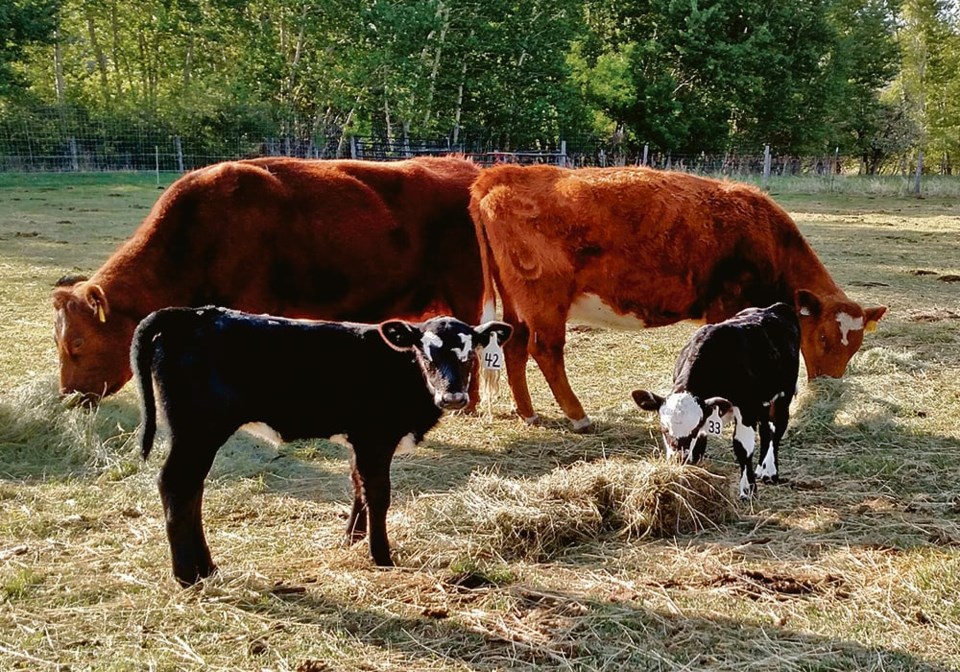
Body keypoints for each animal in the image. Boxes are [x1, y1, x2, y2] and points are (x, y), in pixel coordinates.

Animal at [133, 308, 516, 584]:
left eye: (470, 355)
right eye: (426, 354)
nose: (453, 397)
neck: (400, 369)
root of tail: (189, 313)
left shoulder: (359, 442)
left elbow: (358, 486)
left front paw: (352, 539)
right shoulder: (375, 439)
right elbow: (378, 493)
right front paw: (381, 556)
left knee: (192, 491)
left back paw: (207, 568)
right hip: (197, 431)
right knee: (175, 486)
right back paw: (187, 575)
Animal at [468, 165, 888, 434]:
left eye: (854, 346)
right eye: (823, 338)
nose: (829, 386)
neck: (766, 236)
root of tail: (502, 173)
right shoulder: (725, 307)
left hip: (518, 304)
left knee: (515, 347)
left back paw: (528, 413)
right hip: (546, 301)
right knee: (546, 350)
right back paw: (578, 416)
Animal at [632, 304, 800, 498]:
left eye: (693, 429)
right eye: (663, 428)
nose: (678, 458)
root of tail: (775, 307)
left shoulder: (746, 408)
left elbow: (742, 447)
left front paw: (748, 489)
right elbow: (699, 448)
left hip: (784, 395)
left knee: (778, 428)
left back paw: (770, 473)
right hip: (764, 400)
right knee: (766, 430)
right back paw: (761, 469)